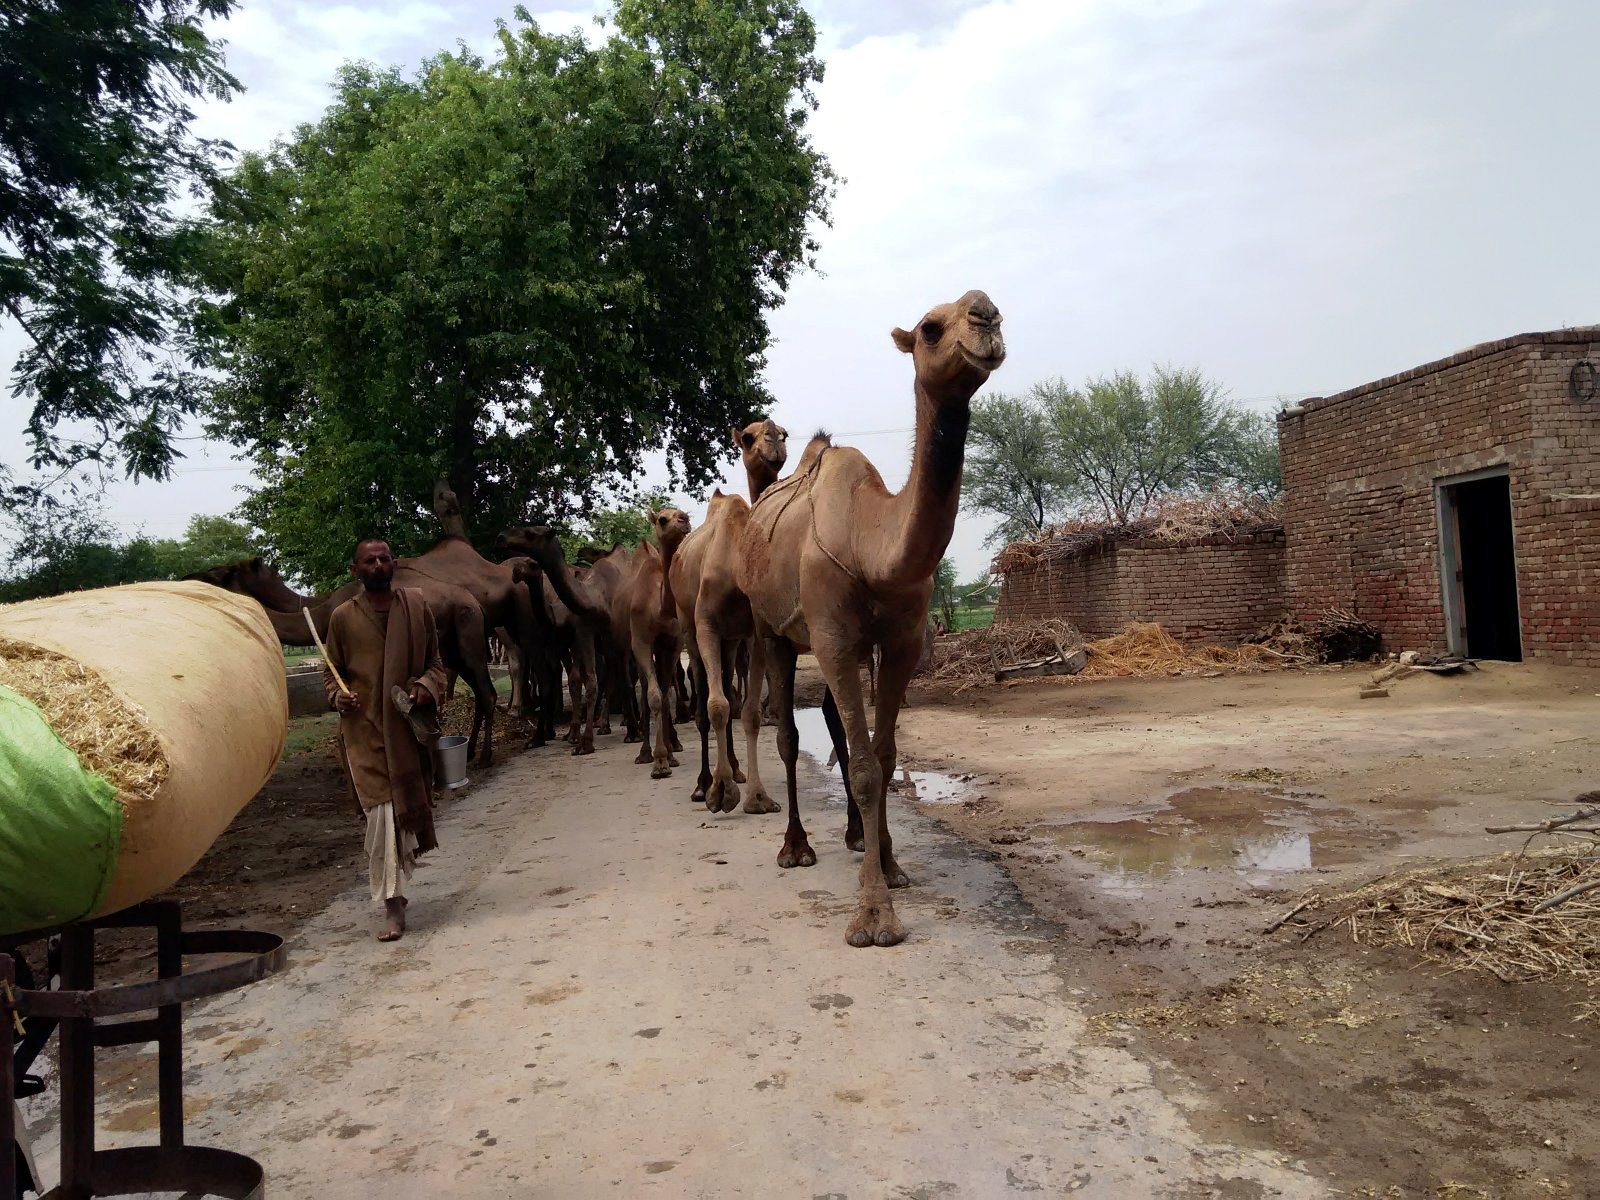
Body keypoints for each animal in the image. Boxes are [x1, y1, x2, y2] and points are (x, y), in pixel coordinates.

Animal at [189, 553, 496, 761]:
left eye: (227, 574)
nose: (199, 574)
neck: (322, 612)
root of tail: (476, 603)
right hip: (455, 649)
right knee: (480, 691)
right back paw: (470, 752)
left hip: (469, 635)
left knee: (486, 691)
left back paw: (485, 756)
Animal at [665, 419, 784, 812]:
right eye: (747, 437)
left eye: (784, 432)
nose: (773, 439)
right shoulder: (706, 626)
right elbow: (716, 706)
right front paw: (720, 791)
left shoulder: (753, 633)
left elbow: (747, 711)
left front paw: (757, 797)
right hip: (688, 626)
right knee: (705, 700)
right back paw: (703, 784)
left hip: (731, 641)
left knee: (731, 691)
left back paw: (735, 769)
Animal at [732, 291, 998, 947]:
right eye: (930, 329)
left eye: (996, 311)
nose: (985, 315)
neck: (867, 539)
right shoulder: (831, 638)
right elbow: (861, 766)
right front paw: (875, 916)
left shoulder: (900, 641)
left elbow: (885, 755)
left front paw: (892, 864)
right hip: (771, 630)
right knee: (786, 733)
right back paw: (795, 846)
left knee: (830, 727)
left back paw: (852, 839)